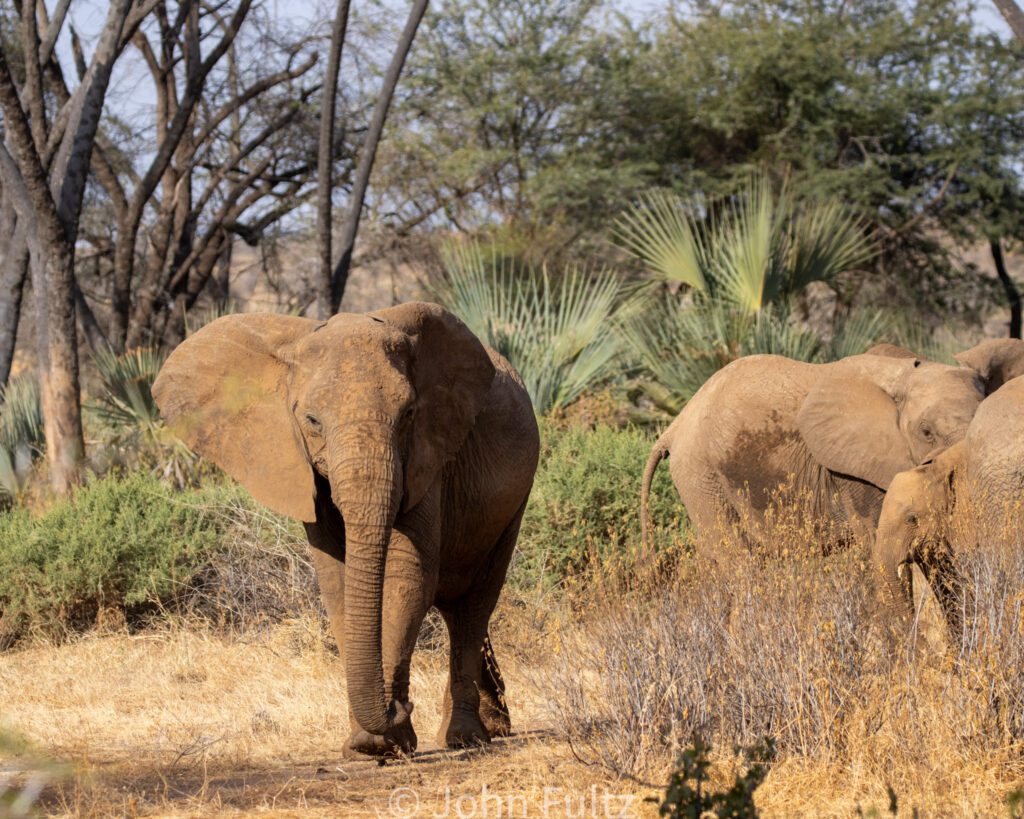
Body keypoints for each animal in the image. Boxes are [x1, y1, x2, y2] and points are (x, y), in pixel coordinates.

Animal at [151, 303, 540, 757]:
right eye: (312, 420)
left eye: (409, 415)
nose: (400, 706)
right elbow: (337, 583)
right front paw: (365, 743)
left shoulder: (428, 456)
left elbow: (408, 576)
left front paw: (387, 742)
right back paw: (492, 727)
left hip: (516, 498)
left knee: (473, 605)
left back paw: (466, 738)